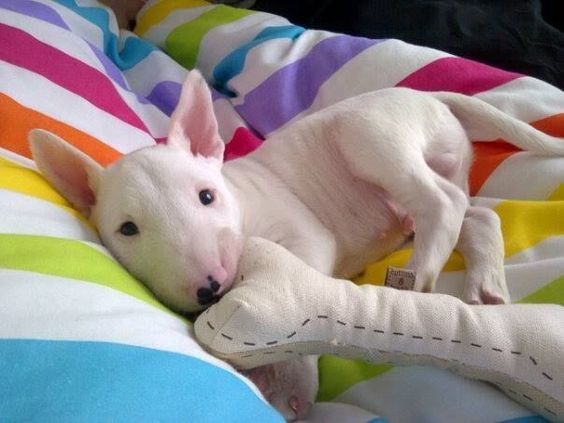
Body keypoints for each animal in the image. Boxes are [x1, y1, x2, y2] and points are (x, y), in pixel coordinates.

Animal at [28, 71, 564, 422]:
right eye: (127, 229)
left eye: (206, 196)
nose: (211, 289)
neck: (241, 199)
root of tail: (428, 95)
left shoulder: (302, 233)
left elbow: (298, 297)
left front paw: (288, 380)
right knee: (478, 214)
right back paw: (485, 287)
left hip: (368, 135)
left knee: (444, 202)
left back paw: (420, 277)